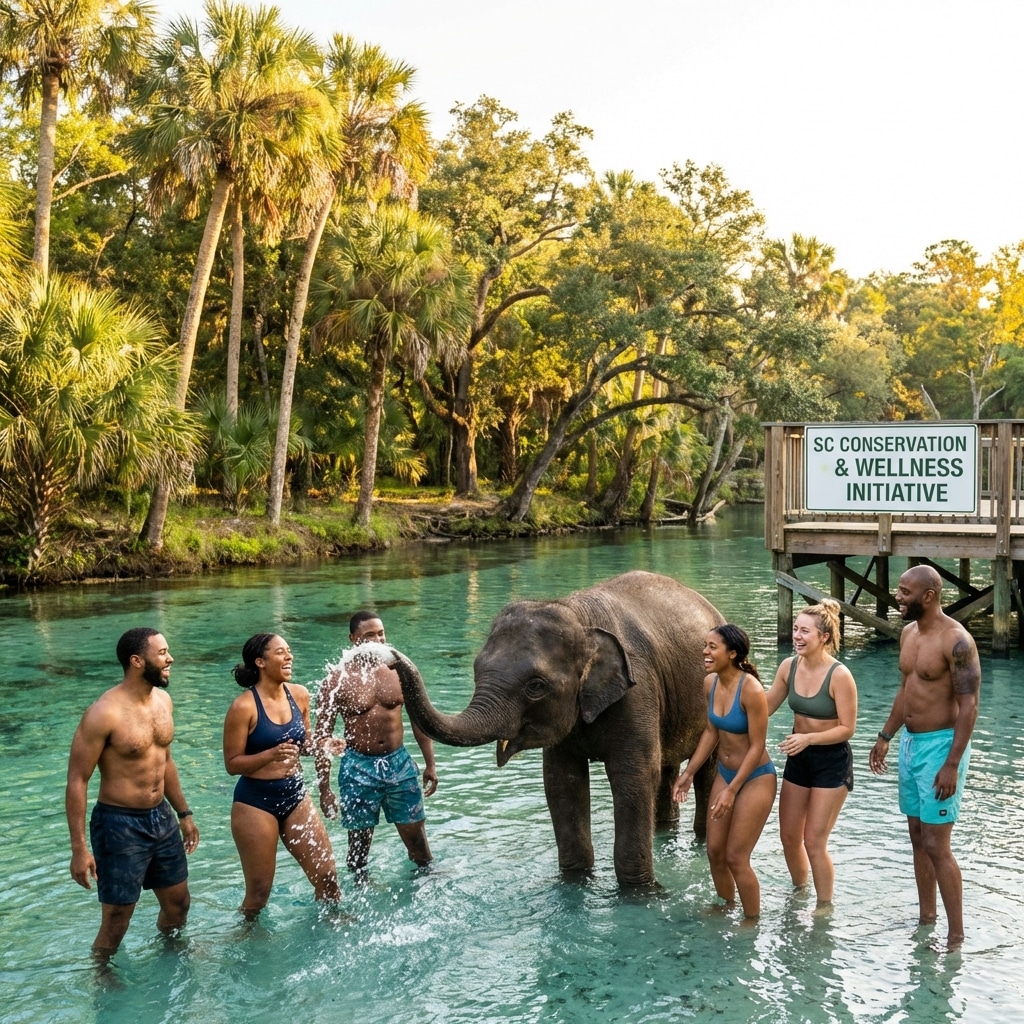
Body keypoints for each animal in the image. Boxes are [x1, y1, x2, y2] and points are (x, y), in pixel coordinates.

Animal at [390, 570, 725, 888]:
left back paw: (703, 839)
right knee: (667, 766)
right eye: (476, 670)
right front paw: (574, 882)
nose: (392, 657)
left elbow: (634, 777)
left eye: (536, 686)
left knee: (706, 769)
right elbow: (561, 782)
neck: (578, 616)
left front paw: (641, 893)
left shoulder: (638, 690)